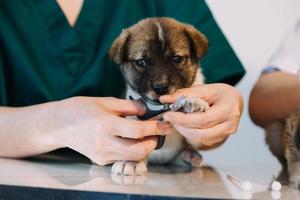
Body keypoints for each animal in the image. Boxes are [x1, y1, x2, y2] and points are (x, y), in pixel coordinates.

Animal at [109, 17, 210, 177]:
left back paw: (190, 156)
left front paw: (194, 101)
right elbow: (133, 143)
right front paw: (130, 162)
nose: (161, 87)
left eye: (176, 59)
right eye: (141, 62)